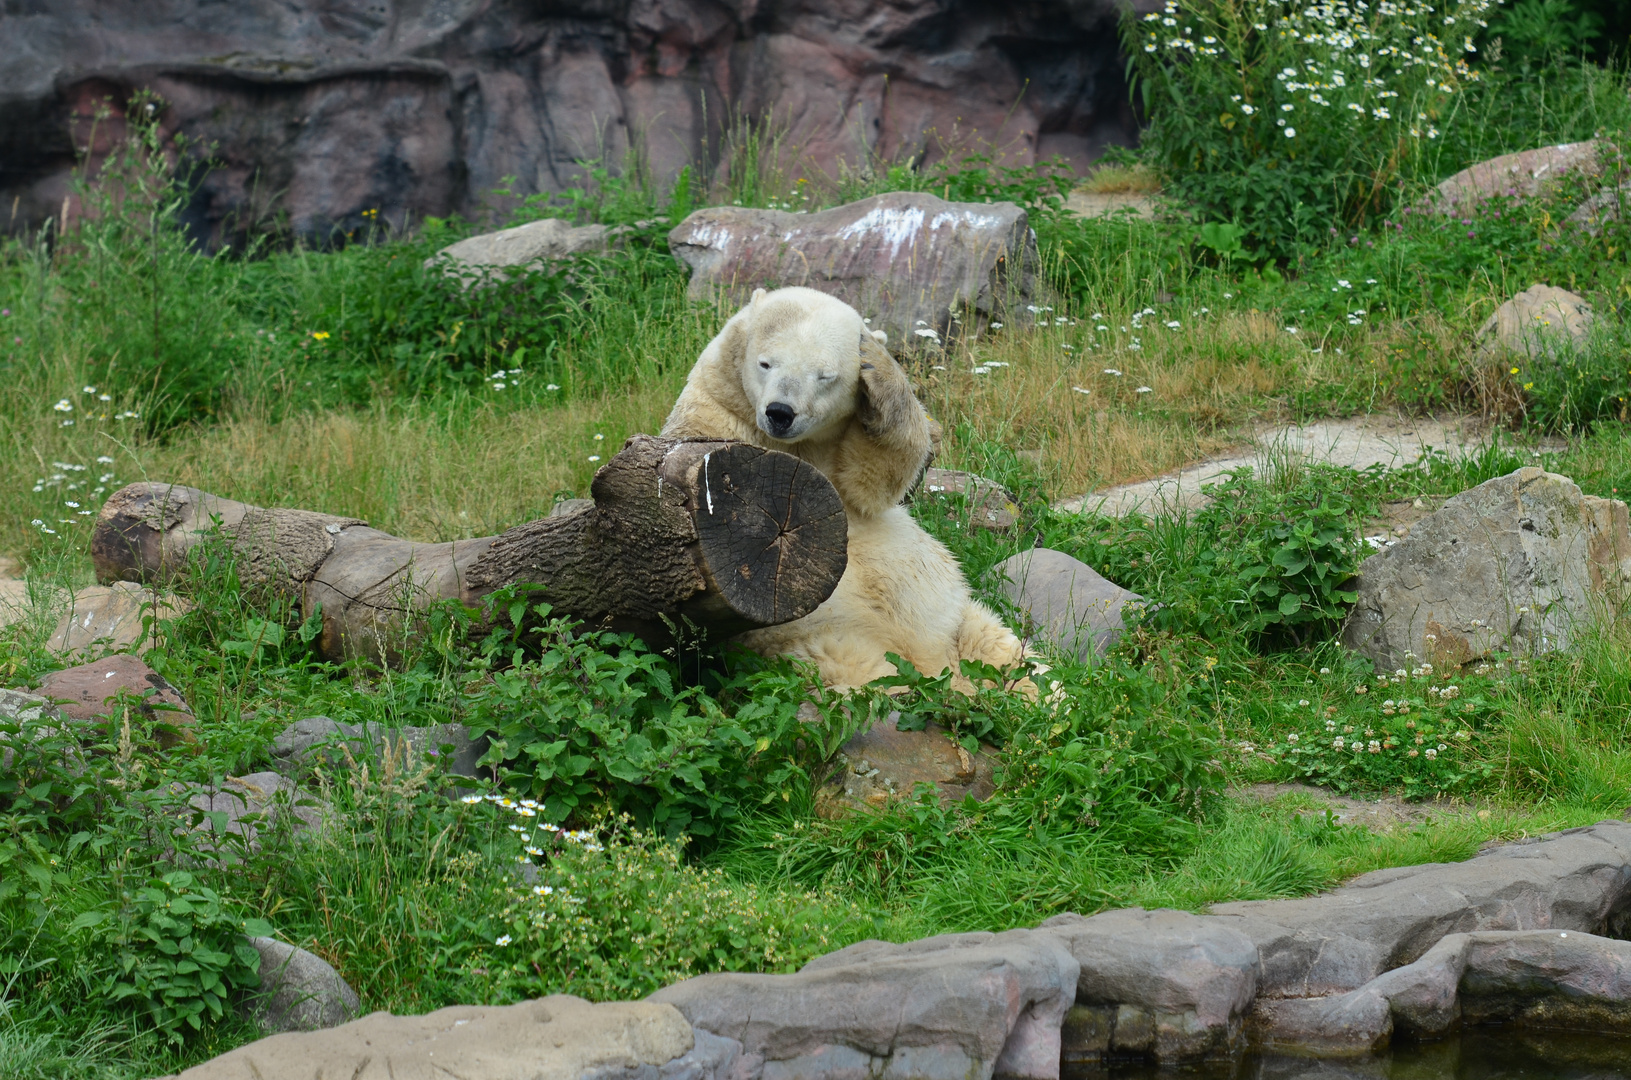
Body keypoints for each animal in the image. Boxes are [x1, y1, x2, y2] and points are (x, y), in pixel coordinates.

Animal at [658, 287, 1017, 688]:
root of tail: (936, 667)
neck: (801, 446)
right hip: (822, 642)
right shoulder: (718, 406)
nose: (780, 412)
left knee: (1000, 649)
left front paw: (879, 366)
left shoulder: (842, 458)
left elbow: (876, 479)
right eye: (766, 363)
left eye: (824, 375)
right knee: (862, 673)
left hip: (958, 620)